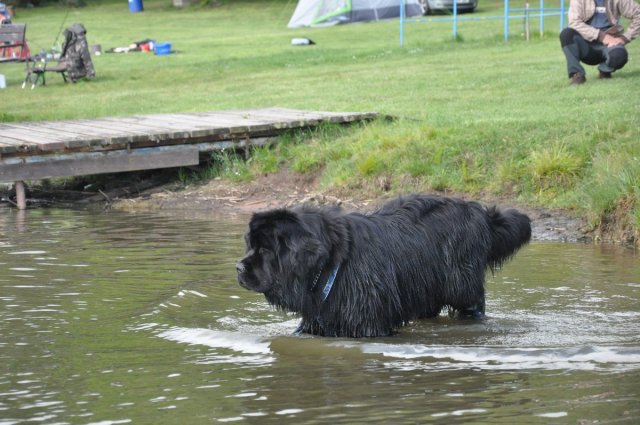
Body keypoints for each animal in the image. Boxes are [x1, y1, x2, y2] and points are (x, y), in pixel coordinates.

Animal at [236, 194, 531, 337]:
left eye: (264, 249)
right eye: (249, 245)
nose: (239, 268)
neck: (332, 268)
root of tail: (479, 211)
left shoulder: (369, 324)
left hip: (463, 288)